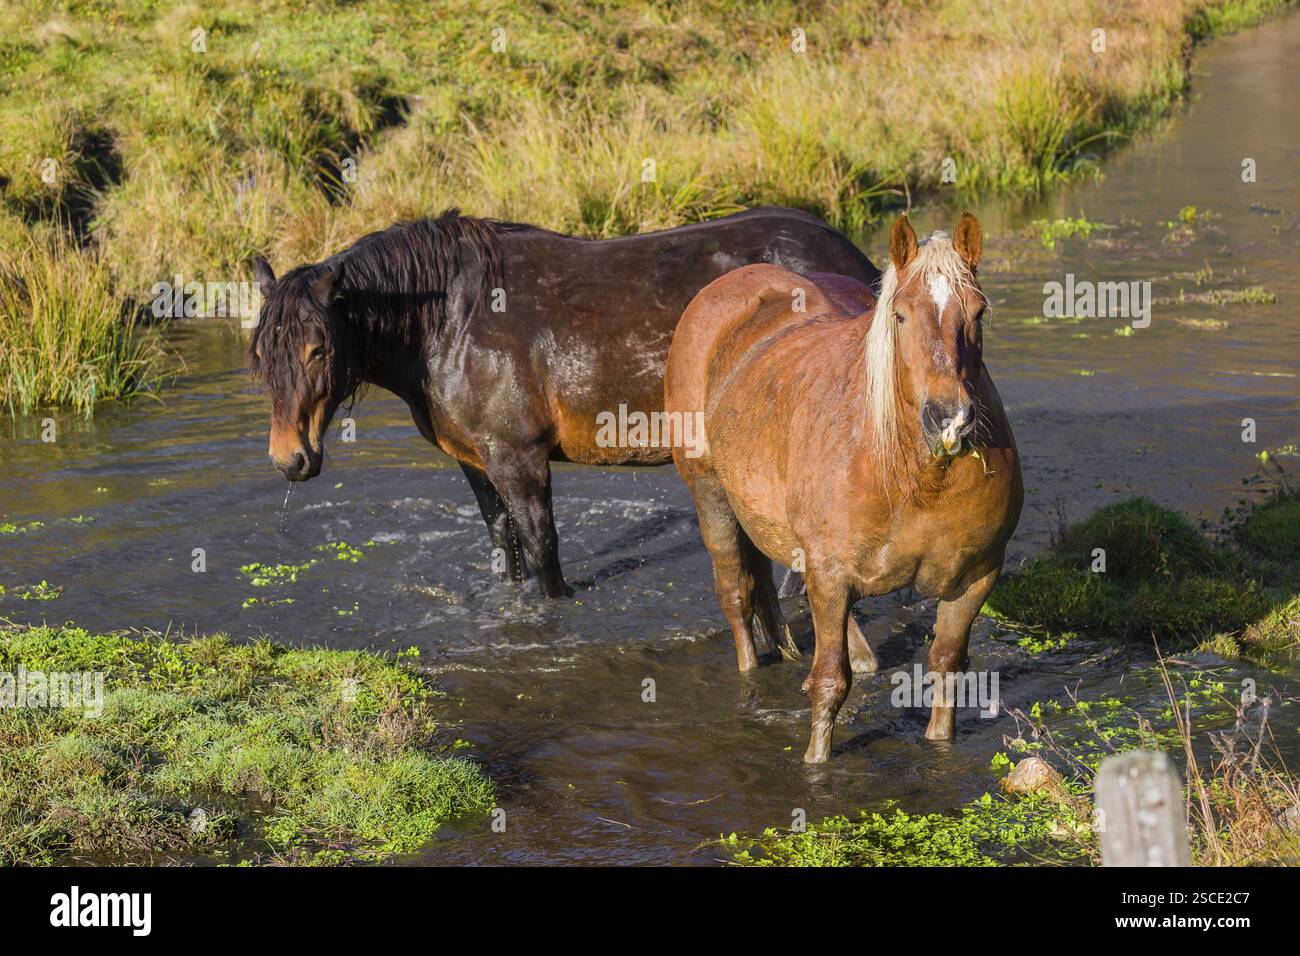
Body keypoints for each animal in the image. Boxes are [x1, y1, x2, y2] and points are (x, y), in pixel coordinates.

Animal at [247, 207, 879, 597]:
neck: (451, 320)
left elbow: (542, 546)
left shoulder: (518, 456)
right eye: (260, 355)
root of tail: (862, 265)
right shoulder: (477, 460)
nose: (288, 459)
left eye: (317, 349)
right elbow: (504, 544)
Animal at [664, 213, 1022, 762]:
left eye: (978, 312)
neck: (915, 479)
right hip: (712, 498)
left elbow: (946, 668)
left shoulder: (976, 576)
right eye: (900, 316)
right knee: (736, 596)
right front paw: (816, 761)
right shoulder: (832, 575)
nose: (950, 419)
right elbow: (830, 682)